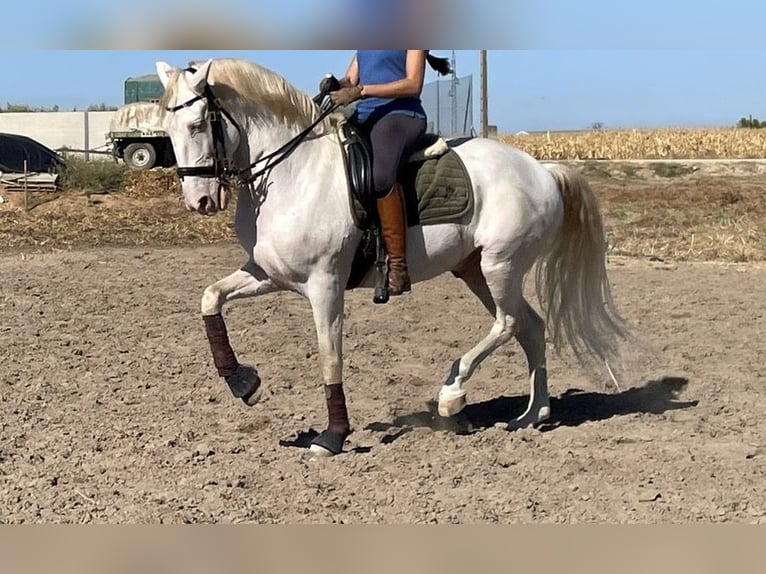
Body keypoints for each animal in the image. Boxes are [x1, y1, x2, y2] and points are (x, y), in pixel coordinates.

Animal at [154, 57, 632, 460]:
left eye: (197, 124)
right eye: (167, 130)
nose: (199, 201)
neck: (293, 173)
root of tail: (541, 169)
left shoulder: (325, 285)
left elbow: (330, 356)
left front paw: (332, 437)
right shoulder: (268, 273)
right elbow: (210, 298)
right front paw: (244, 383)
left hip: (502, 265)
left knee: (509, 322)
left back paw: (452, 395)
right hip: (475, 269)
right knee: (529, 326)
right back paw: (532, 416)